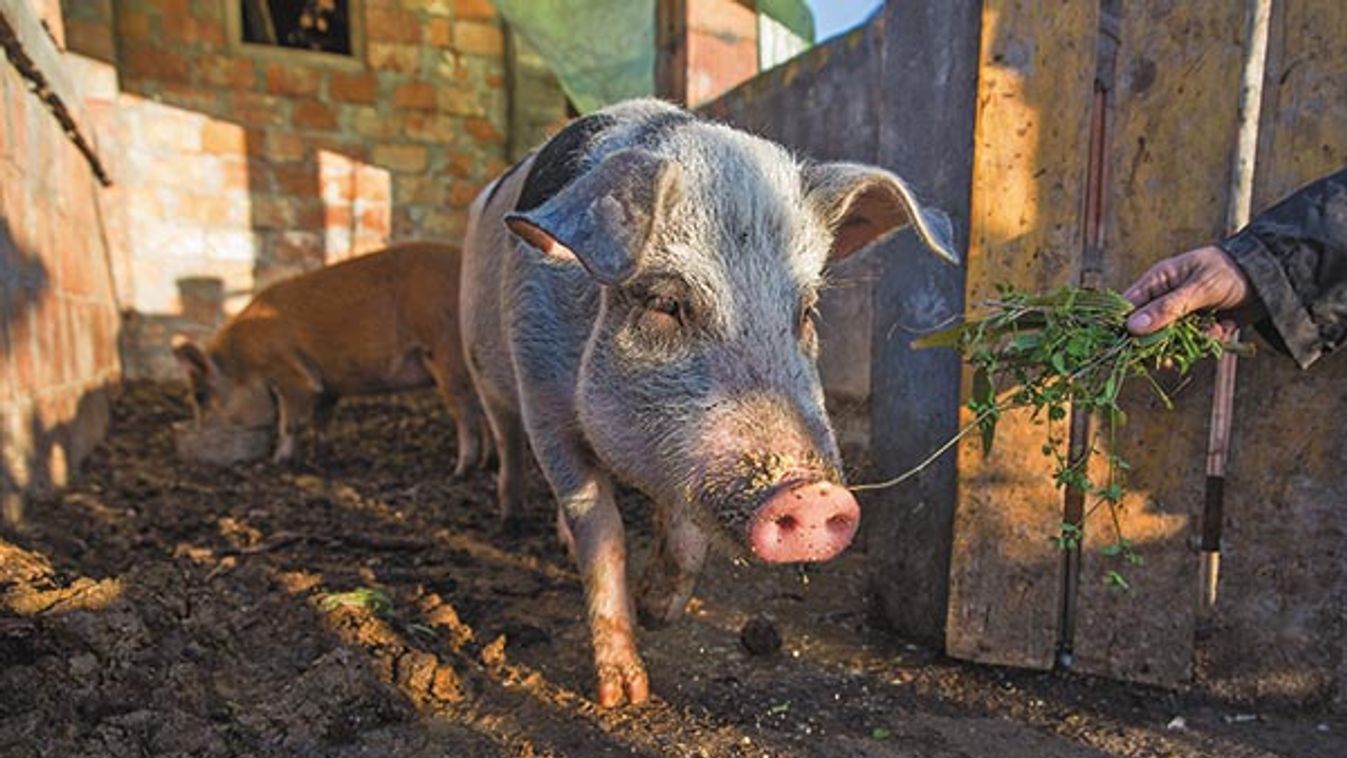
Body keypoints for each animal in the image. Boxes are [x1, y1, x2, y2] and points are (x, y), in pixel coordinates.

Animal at [167, 243, 484, 471]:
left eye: (200, 396)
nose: (200, 432)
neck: (246, 362)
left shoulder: (292, 375)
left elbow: (290, 422)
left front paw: (278, 462)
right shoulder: (329, 384)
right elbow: (322, 419)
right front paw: (323, 456)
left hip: (447, 354)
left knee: (467, 414)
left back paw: (459, 471)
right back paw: (484, 465)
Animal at [463, 99, 959, 705]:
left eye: (806, 312)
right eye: (666, 303)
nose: (813, 495)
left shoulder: (685, 460)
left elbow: (684, 527)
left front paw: (656, 611)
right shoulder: (542, 397)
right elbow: (601, 532)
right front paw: (625, 696)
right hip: (481, 364)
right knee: (506, 439)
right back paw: (509, 517)